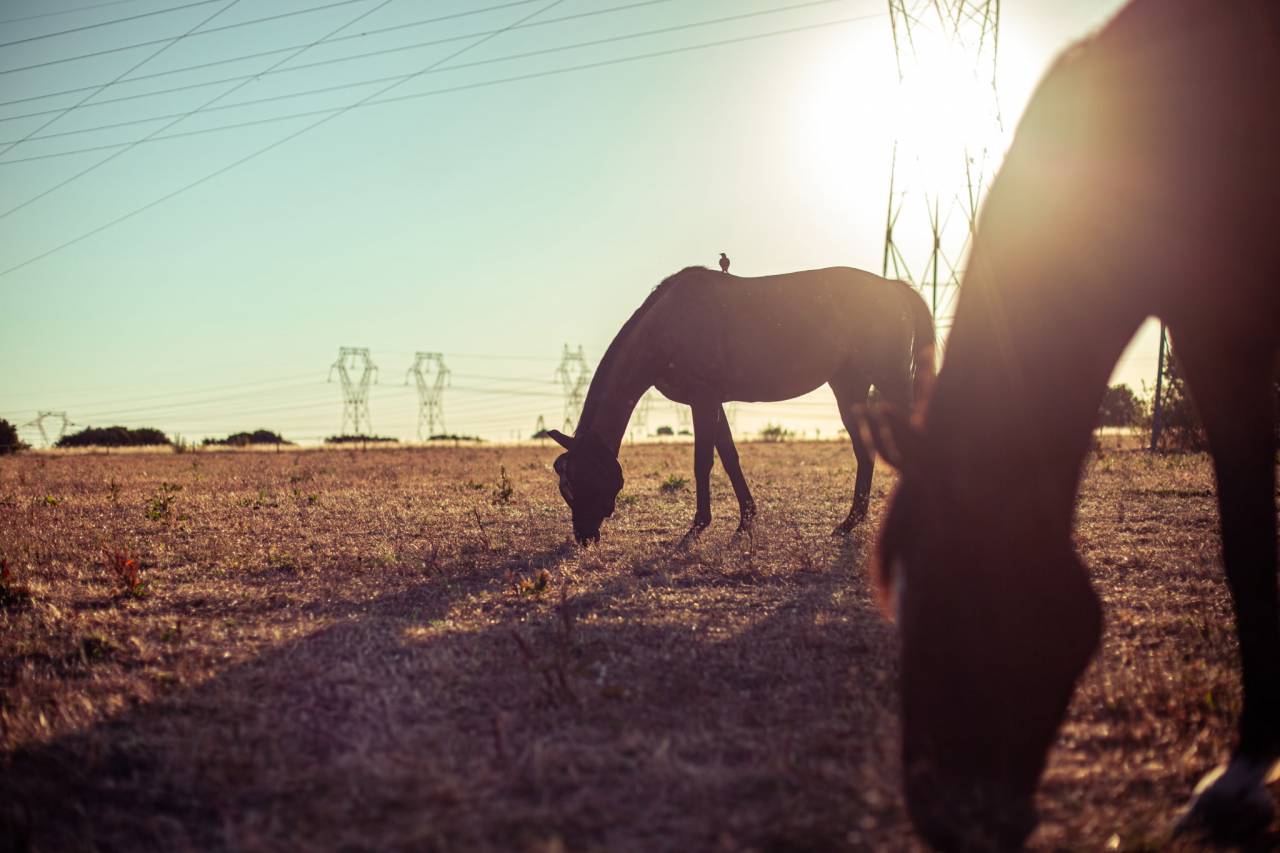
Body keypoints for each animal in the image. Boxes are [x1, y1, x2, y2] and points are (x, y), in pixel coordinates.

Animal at [545, 265, 935, 544]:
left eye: (577, 481)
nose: (583, 536)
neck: (668, 323)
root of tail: (893, 286)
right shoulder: (713, 401)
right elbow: (730, 457)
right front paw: (745, 521)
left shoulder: (703, 400)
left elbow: (703, 462)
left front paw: (698, 525)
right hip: (849, 386)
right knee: (864, 449)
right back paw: (849, 523)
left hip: (889, 380)